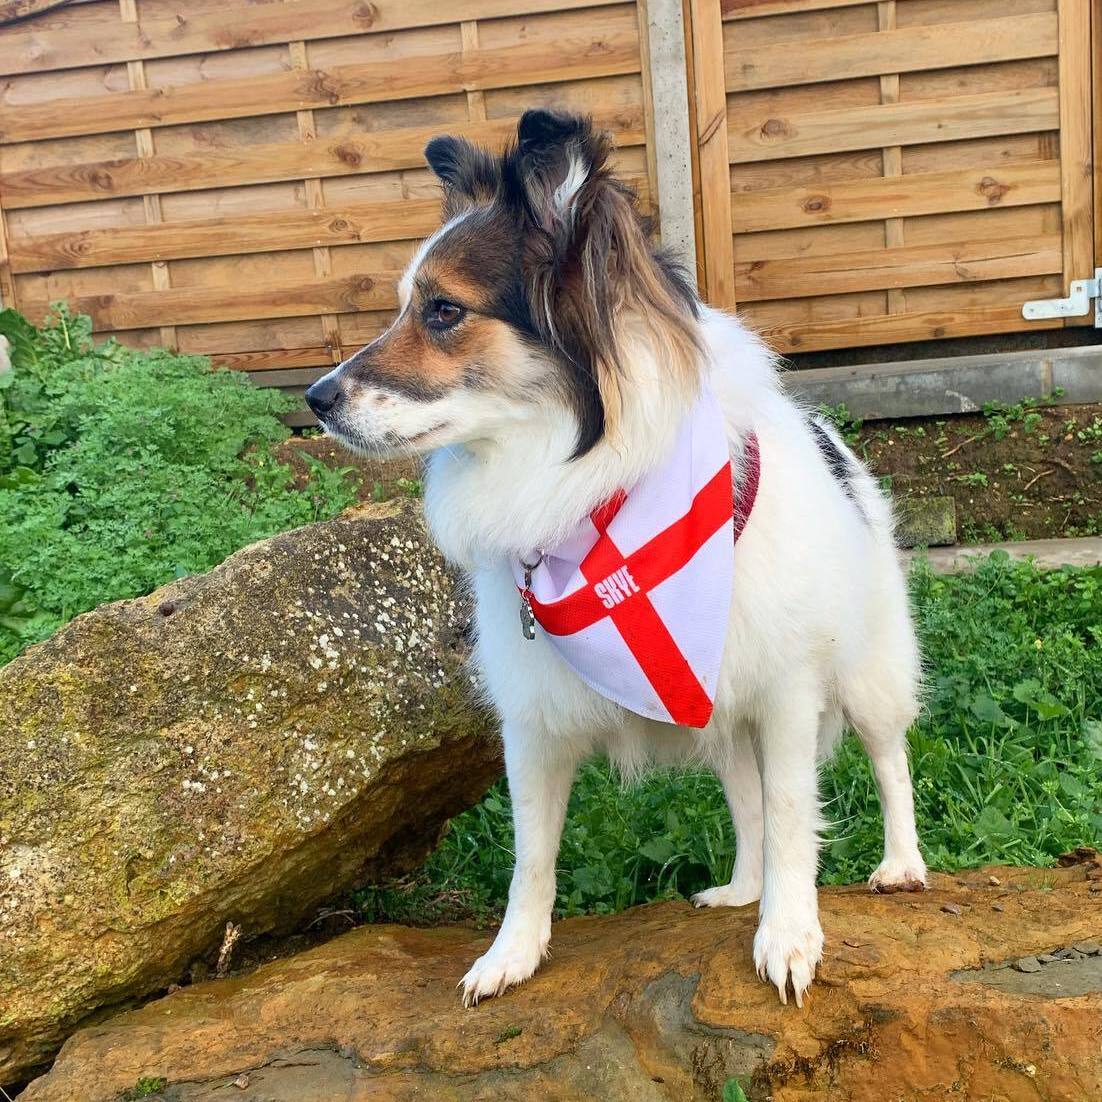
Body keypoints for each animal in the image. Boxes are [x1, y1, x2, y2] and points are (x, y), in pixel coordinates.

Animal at [306, 109, 925, 1009]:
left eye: (445, 311)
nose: (314, 399)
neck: (592, 493)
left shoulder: (786, 690)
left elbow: (791, 816)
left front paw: (789, 935)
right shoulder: (534, 723)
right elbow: (533, 852)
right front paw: (513, 953)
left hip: (867, 670)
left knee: (888, 758)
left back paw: (902, 864)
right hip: (717, 710)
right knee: (743, 798)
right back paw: (741, 889)